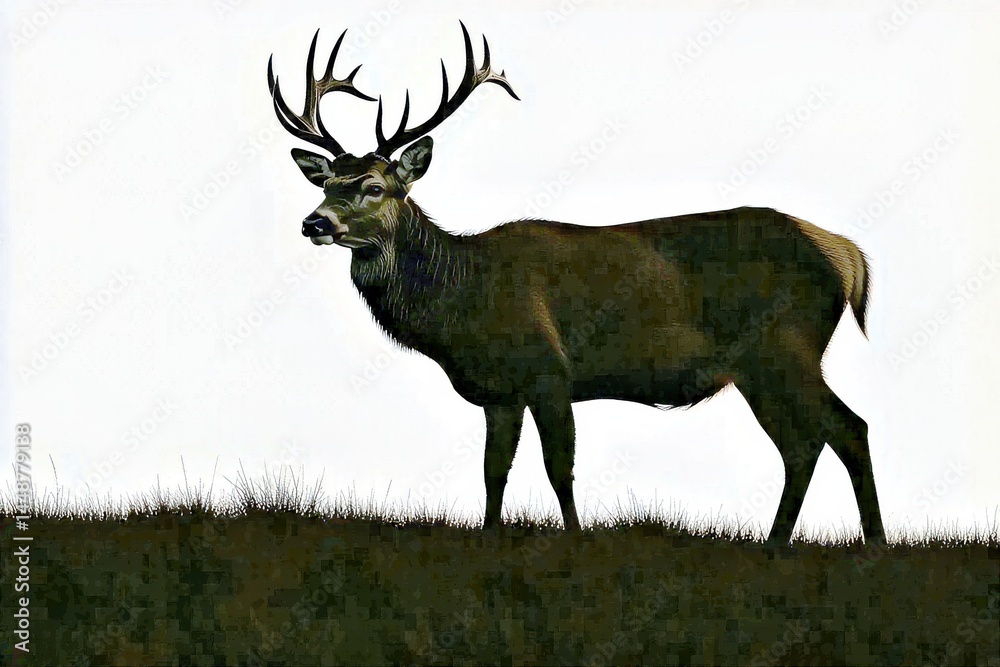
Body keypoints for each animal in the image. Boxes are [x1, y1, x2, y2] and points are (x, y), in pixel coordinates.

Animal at [267, 23, 886, 546]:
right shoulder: (501, 392)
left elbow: (558, 466)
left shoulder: (549, 369)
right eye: (327, 183)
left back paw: (872, 545)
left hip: (786, 346)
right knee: (804, 444)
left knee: (846, 428)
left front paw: (575, 540)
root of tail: (846, 254)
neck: (465, 300)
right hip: (762, 366)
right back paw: (777, 545)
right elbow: (494, 471)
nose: (315, 223)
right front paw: (489, 539)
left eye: (374, 187)